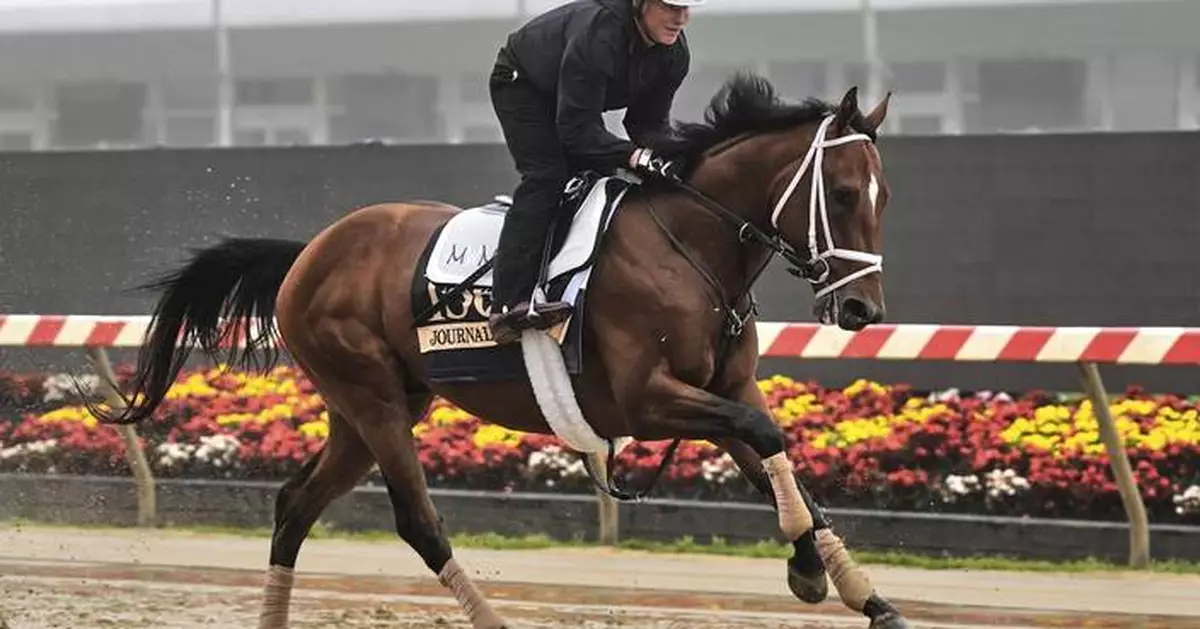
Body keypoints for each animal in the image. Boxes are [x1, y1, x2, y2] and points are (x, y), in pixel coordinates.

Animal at [93, 72, 909, 629]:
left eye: (884, 197)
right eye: (841, 193)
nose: (862, 309)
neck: (689, 248)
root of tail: (307, 255)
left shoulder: (726, 389)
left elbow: (779, 459)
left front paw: (855, 590)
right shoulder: (647, 399)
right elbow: (769, 441)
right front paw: (811, 567)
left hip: (370, 409)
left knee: (295, 504)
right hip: (371, 397)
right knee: (417, 522)